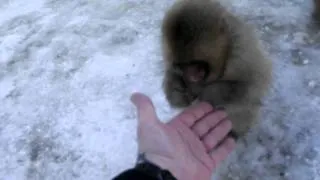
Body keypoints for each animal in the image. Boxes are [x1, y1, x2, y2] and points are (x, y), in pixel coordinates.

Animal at [162, 0, 272, 139]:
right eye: (182, 66)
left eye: (195, 65)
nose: (190, 75)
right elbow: (172, 75)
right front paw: (177, 91)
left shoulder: (243, 51)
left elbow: (249, 87)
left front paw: (207, 94)